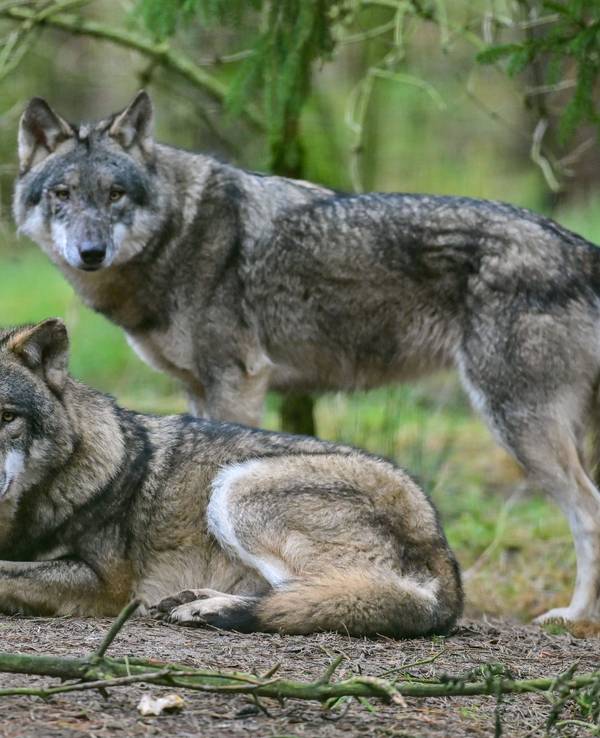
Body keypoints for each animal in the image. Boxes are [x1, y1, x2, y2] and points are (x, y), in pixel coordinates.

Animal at [0, 318, 462, 636]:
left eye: (7, 417)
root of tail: (439, 541)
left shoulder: (106, 584)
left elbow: (7, 573)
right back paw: (198, 600)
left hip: (236, 489)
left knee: (318, 593)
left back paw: (211, 609)